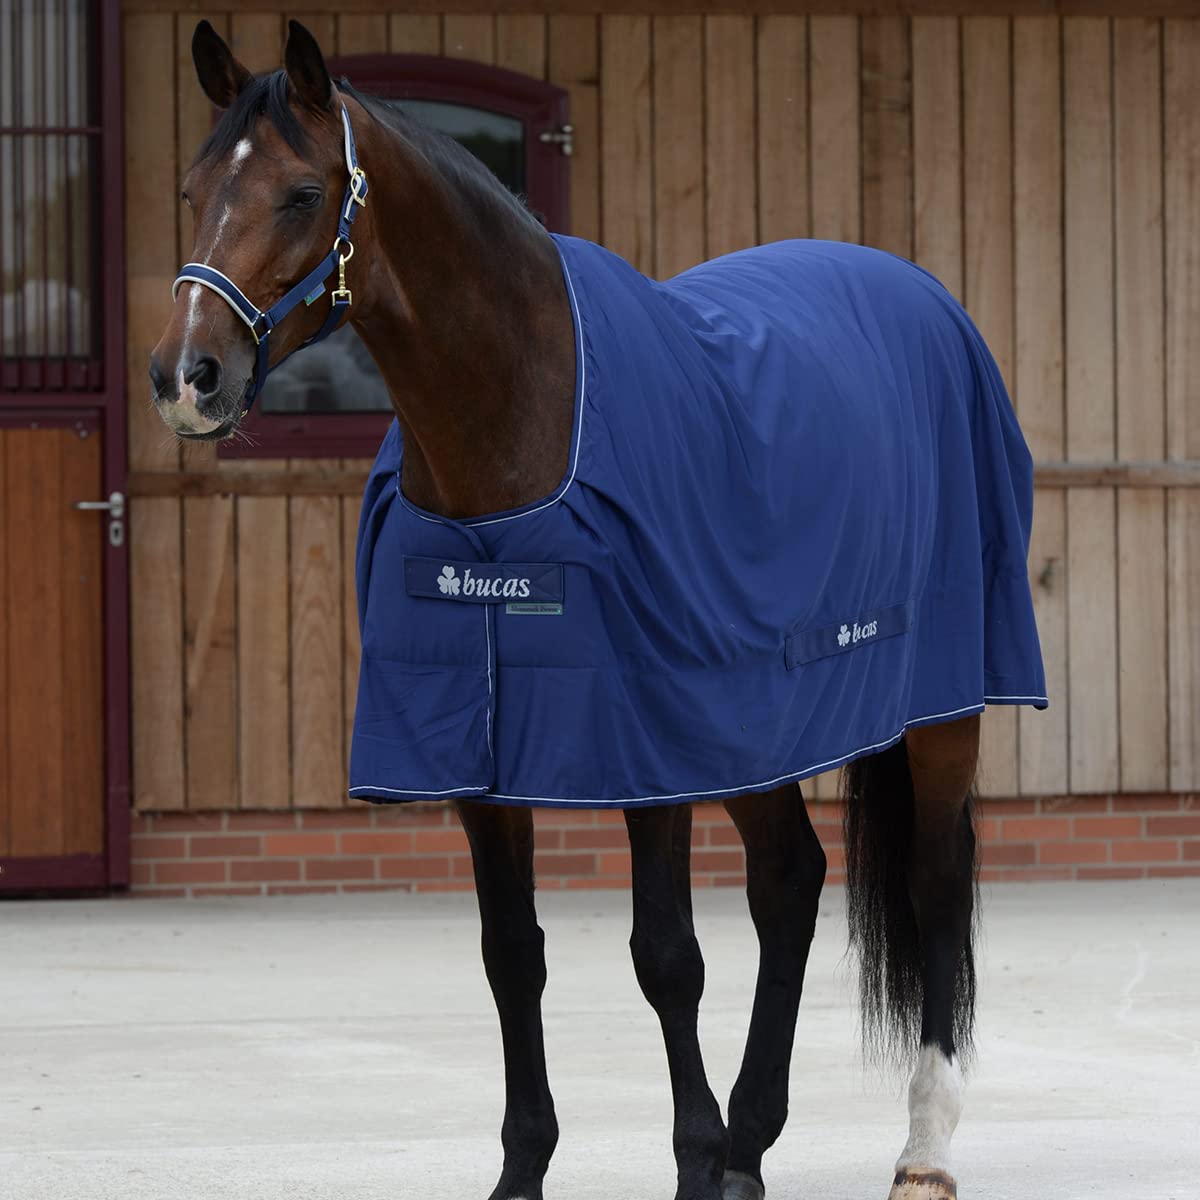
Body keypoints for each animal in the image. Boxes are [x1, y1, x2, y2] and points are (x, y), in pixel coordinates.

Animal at [149, 20, 1048, 1200]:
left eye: (302, 194)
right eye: (192, 186)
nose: (186, 377)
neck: (521, 435)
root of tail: (923, 297)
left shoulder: (641, 742)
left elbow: (665, 957)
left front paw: (692, 1163)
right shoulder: (480, 752)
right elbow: (510, 956)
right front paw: (530, 1171)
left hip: (942, 705)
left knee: (934, 883)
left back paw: (921, 1153)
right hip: (753, 725)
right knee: (791, 881)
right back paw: (754, 1143)